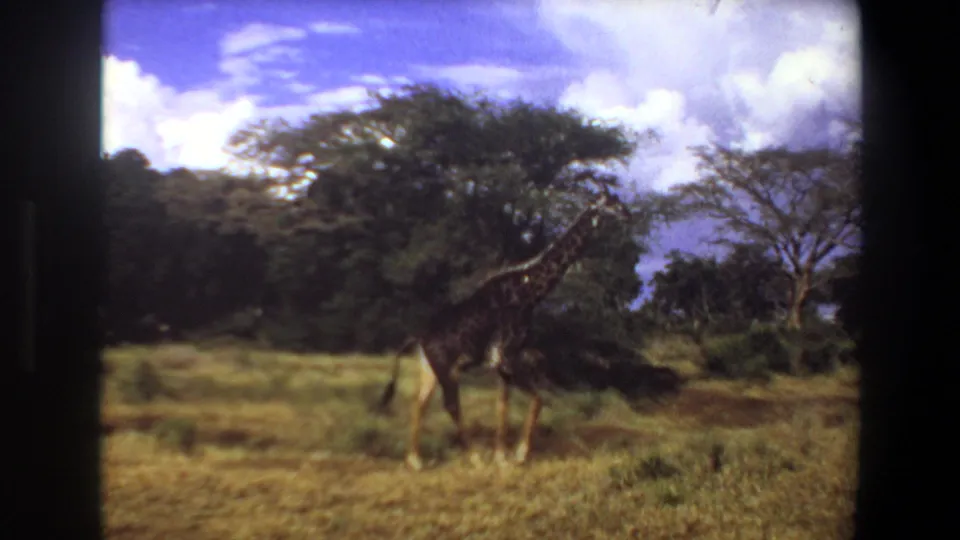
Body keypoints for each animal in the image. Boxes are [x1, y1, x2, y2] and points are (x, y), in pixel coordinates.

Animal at [378, 181, 633, 471]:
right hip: (445, 368)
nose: (628, 215)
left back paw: (416, 460)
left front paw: (502, 456)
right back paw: (474, 458)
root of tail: (418, 338)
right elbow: (537, 399)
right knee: (450, 404)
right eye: (610, 203)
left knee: (420, 403)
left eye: (618, 201)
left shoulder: (503, 361)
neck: (529, 291)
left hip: (430, 368)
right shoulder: (505, 357)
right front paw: (519, 454)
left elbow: (503, 405)